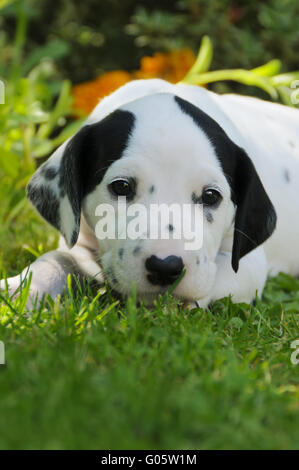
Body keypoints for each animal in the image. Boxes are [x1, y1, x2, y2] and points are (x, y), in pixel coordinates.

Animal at [0, 80, 299, 308]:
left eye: (211, 196)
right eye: (121, 187)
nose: (165, 267)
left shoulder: (249, 264)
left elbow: (217, 276)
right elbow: (56, 259)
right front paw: (21, 288)